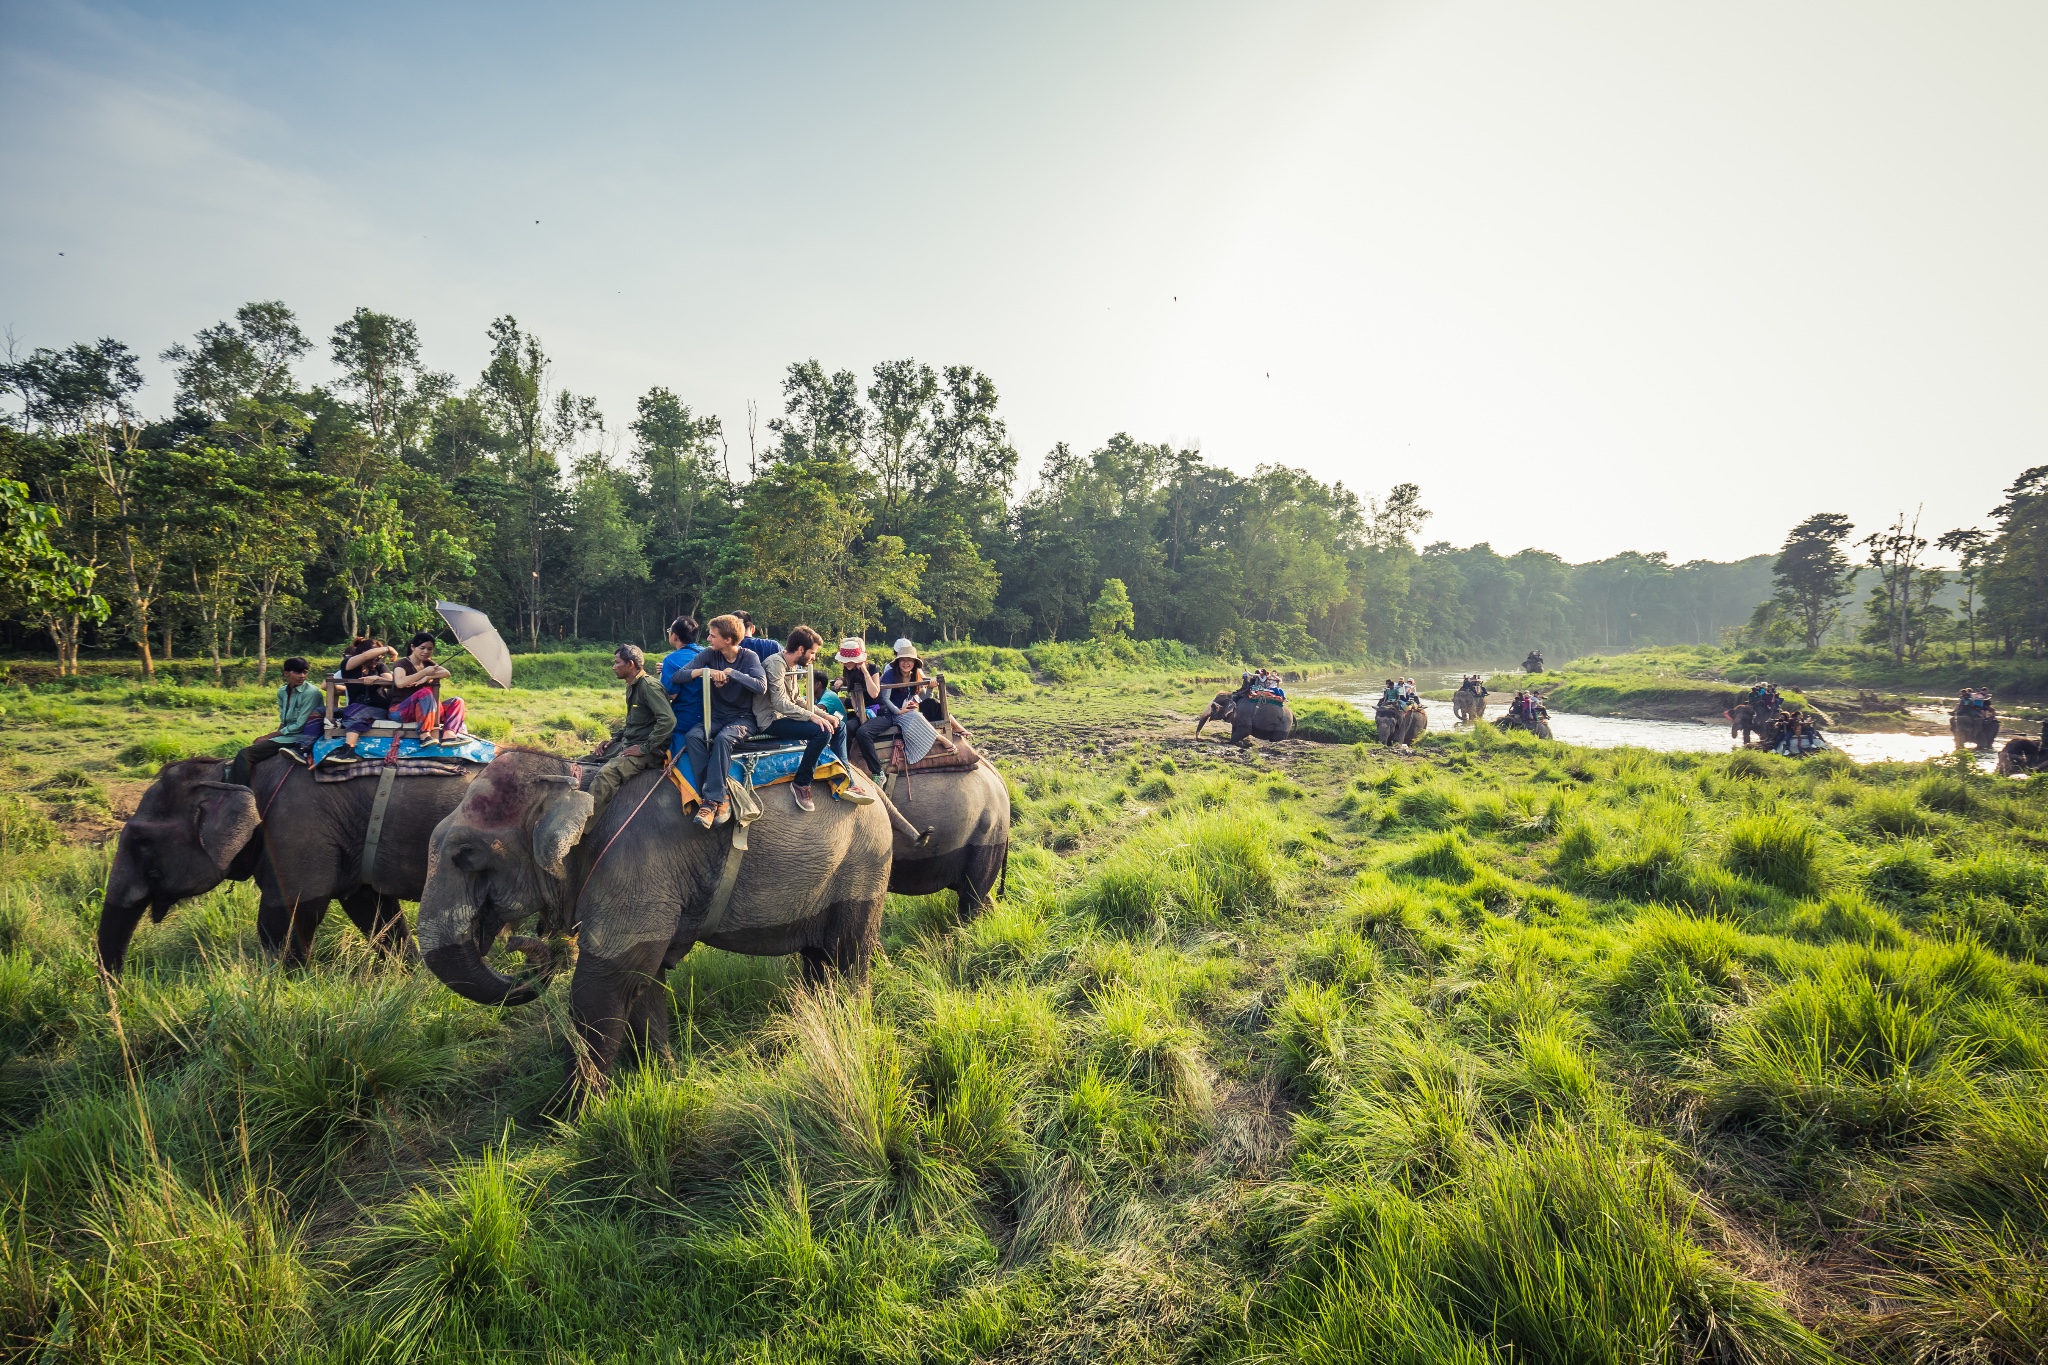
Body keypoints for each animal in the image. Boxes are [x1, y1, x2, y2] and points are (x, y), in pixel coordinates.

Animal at [99, 757, 479, 970]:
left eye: (141, 842)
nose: (120, 986)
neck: (229, 774)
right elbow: (374, 911)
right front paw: (409, 976)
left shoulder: (297, 830)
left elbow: (281, 919)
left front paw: (292, 982)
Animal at [417, 749, 897, 1088]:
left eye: (467, 854)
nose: (520, 944)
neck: (583, 784)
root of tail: (869, 784)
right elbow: (643, 982)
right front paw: (665, 1078)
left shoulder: (636, 868)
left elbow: (599, 989)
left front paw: (568, 1117)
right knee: (819, 960)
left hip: (864, 863)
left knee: (848, 956)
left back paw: (849, 1032)